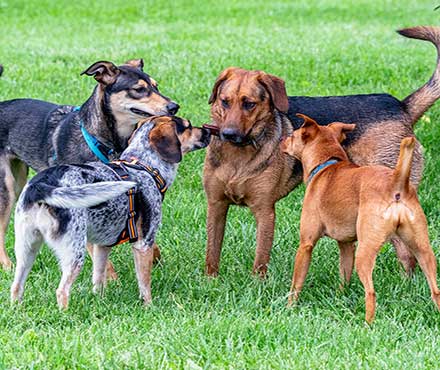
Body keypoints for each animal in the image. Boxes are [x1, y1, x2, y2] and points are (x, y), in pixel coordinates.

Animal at [282, 114, 440, 322]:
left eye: (292, 135)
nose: (282, 141)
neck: (327, 164)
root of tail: (397, 184)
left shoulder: (306, 245)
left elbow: (296, 283)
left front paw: (289, 308)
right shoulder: (346, 245)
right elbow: (344, 276)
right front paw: (340, 297)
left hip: (365, 252)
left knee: (371, 292)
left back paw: (368, 324)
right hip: (422, 249)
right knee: (435, 290)